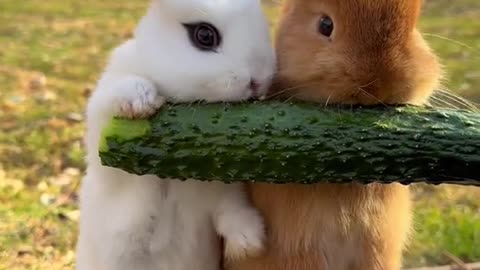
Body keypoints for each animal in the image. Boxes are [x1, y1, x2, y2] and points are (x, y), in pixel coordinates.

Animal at [76, 0, 276, 270]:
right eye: (205, 36)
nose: (259, 81)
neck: (173, 178)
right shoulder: (103, 144)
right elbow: (115, 96)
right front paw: (141, 102)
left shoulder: (223, 186)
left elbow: (231, 207)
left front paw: (250, 243)